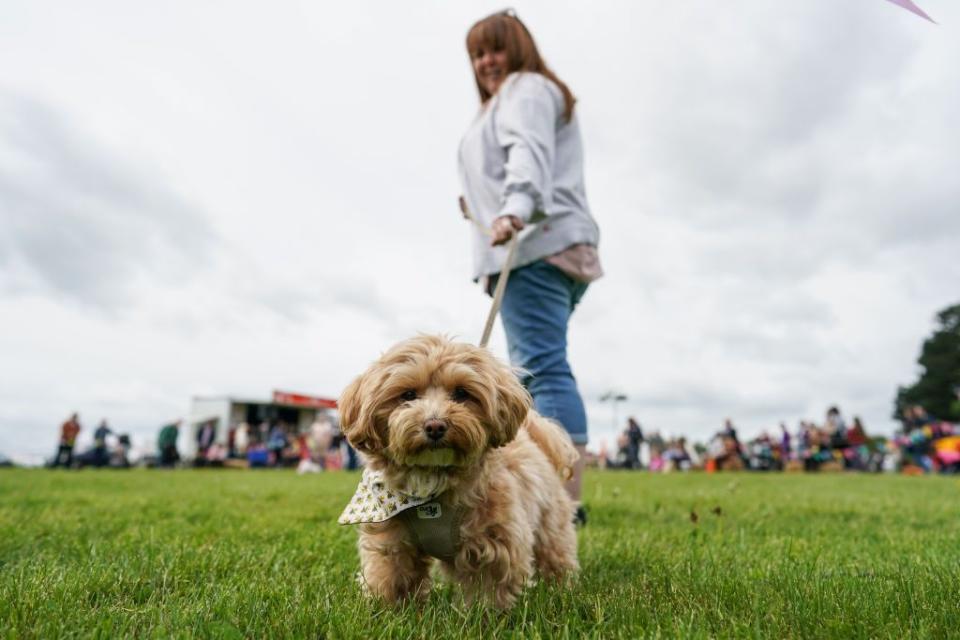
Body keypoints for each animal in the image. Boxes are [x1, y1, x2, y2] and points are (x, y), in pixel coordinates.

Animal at [342, 332, 580, 608]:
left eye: (461, 393)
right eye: (408, 395)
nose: (435, 425)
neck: (432, 483)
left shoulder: (493, 543)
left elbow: (488, 588)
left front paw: (484, 614)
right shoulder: (393, 542)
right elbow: (390, 578)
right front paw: (388, 610)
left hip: (550, 526)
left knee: (556, 557)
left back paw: (561, 590)